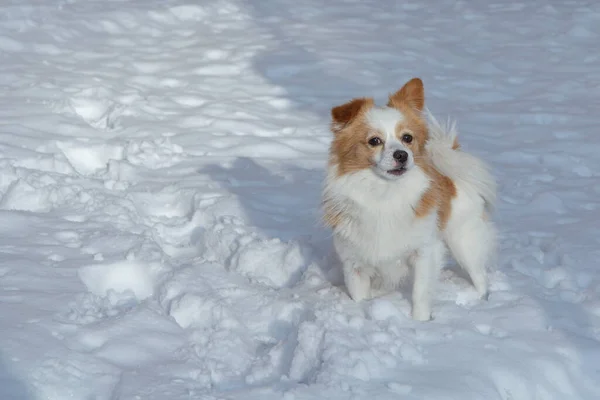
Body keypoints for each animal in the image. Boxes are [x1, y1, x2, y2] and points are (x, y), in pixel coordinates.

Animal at [324, 77, 496, 322]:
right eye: (374, 141)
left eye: (407, 138)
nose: (402, 154)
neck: (385, 193)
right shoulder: (354, 263)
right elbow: (359, 297)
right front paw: (364, 310)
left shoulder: (424, 253)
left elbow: (420, 293)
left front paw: (420, 322)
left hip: (464, 241)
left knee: (480, 276)